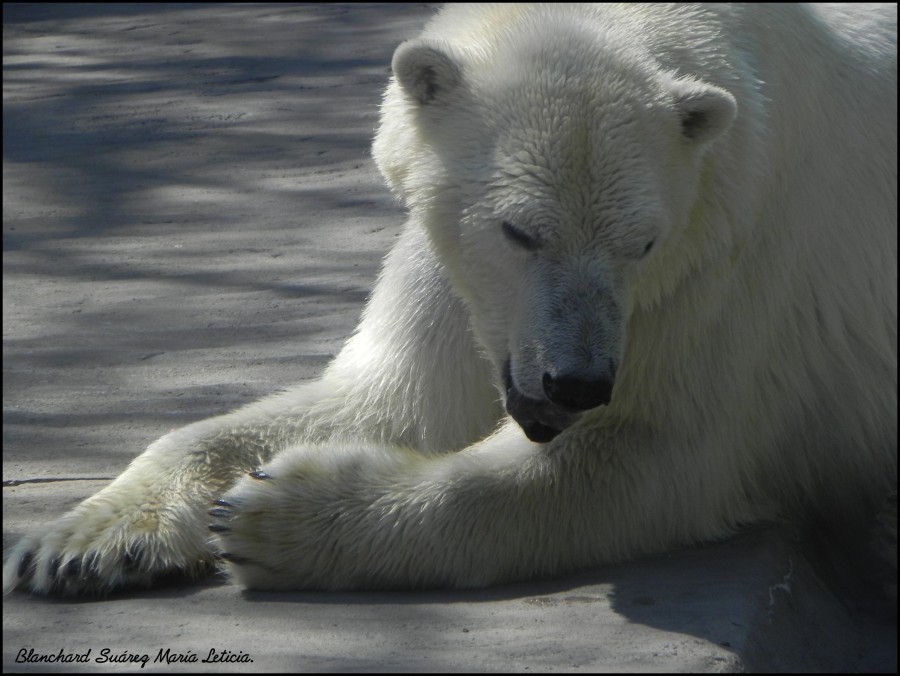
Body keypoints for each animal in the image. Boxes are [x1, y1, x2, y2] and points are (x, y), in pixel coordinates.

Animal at [3, 2, 896, 596]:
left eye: (640, 242)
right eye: (519, 230)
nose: (576, 382)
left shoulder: (723, 265)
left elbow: (651, 454)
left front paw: (272, 515)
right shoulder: (454, 269)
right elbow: (391, 397)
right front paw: (81, 543)